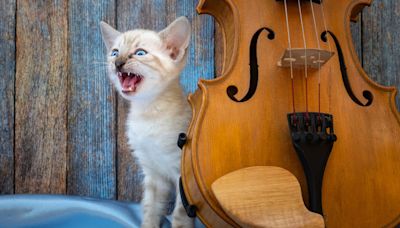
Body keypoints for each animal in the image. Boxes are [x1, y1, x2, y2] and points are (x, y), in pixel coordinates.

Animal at [100, 16, 194, 228]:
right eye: (115, 52)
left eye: (140, 53)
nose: (118, 62)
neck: (147, 112)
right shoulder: (153, 174)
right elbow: (150, 208)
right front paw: (148, 224)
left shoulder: (183, 176)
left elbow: (180, 215)